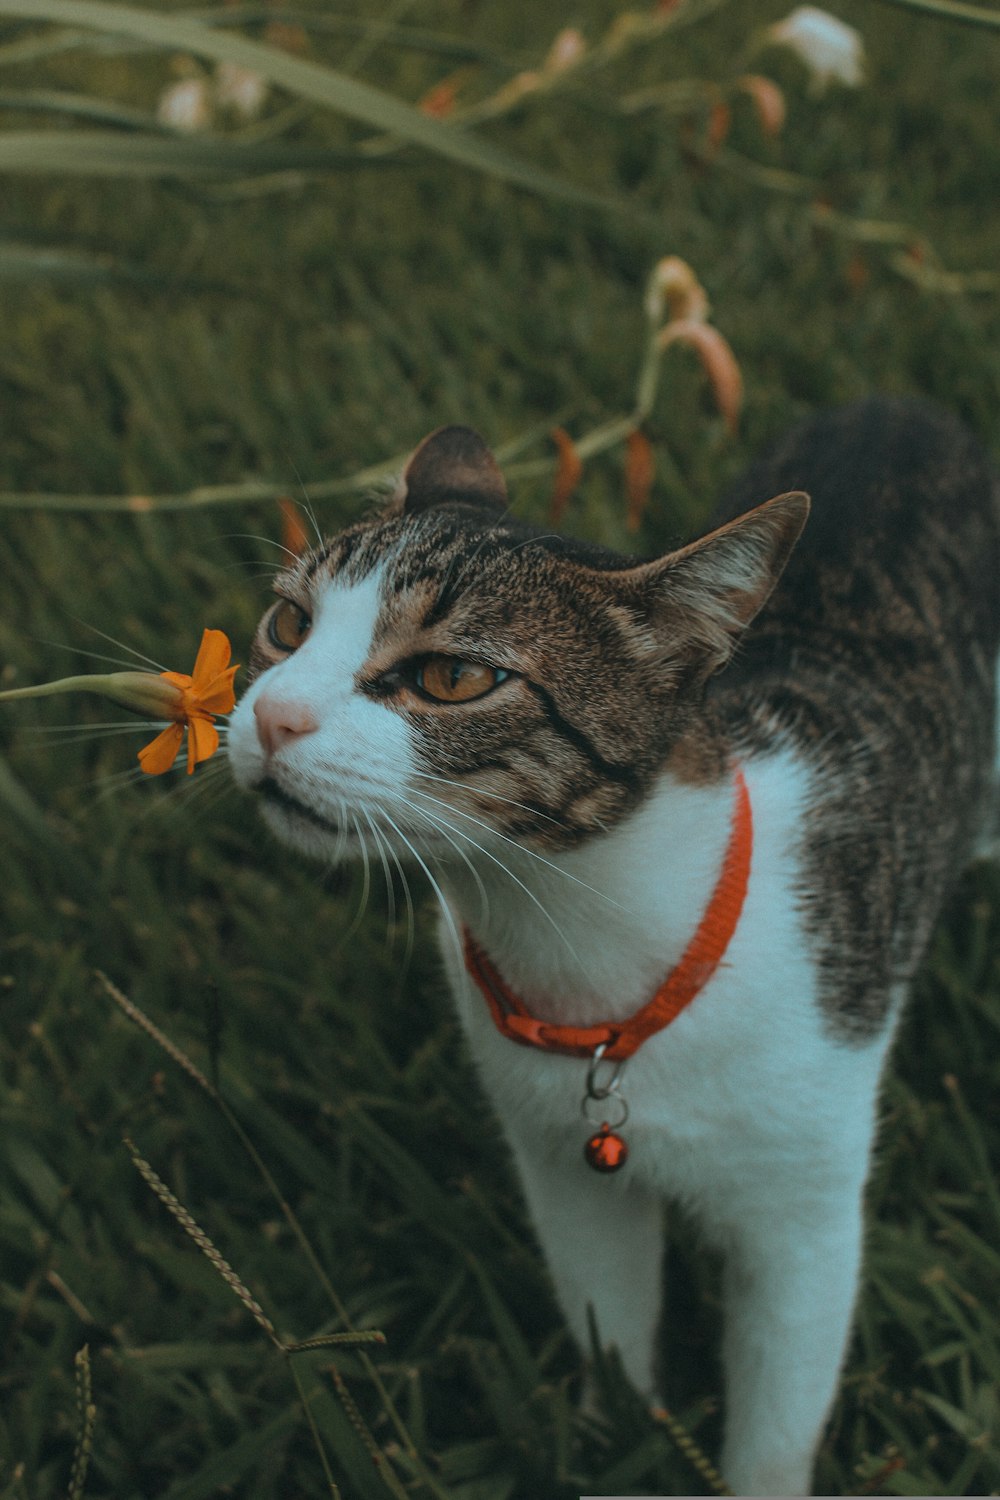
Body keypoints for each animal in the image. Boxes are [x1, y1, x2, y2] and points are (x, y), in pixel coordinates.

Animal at [226, 399, 1000, 1500]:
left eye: (455, 676)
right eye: (289, 625)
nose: (271, 715)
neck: (587, 943)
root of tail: (898, 408)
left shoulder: (802, 1211)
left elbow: (777, 1416)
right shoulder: (557, 1162)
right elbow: (609, 1321)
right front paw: (609, 1438)